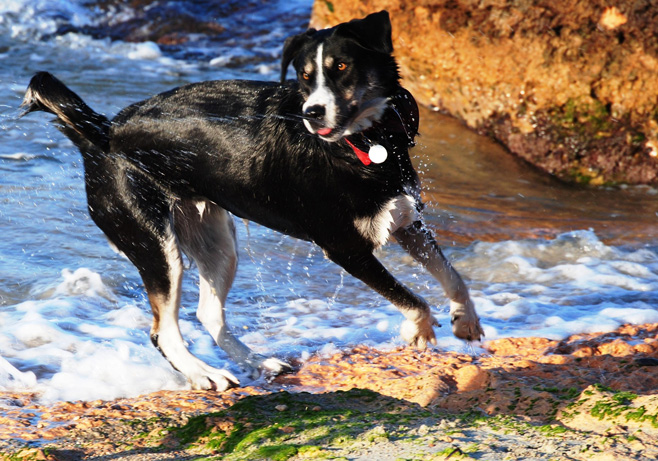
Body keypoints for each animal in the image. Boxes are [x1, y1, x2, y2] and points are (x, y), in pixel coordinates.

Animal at [21, 11, 482, 388]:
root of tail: (103, 133)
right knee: (164, 331)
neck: (364, 142)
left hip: (215, 239)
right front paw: (421, 330)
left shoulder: (405, 219)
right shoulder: (345, 247)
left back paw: (259, 362)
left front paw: (466, 321)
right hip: (155, 242)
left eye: (342, 67)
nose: (312, 113)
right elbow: (412, 298)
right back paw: (204, 374)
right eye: (304, 77)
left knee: (208, 313)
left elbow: (451, 273)